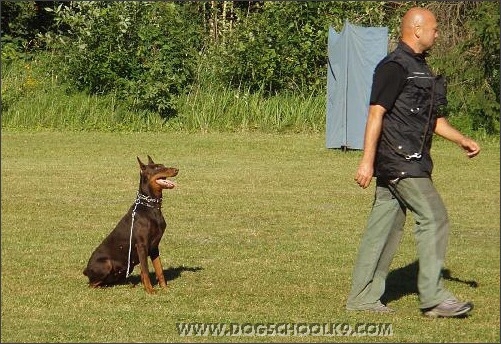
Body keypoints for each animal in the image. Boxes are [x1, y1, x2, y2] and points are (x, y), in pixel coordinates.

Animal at [81, 156, 177, 292]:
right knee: (92, 285)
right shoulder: (141, 245)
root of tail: (86, 270)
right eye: (157, 167)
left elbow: (159, 269)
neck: (151, 207)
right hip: (106, 263)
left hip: (127, 268)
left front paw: (165, 288)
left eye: (163, 165)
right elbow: (145, 271)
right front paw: (150, 291)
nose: (176, 169)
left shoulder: (154, 247)